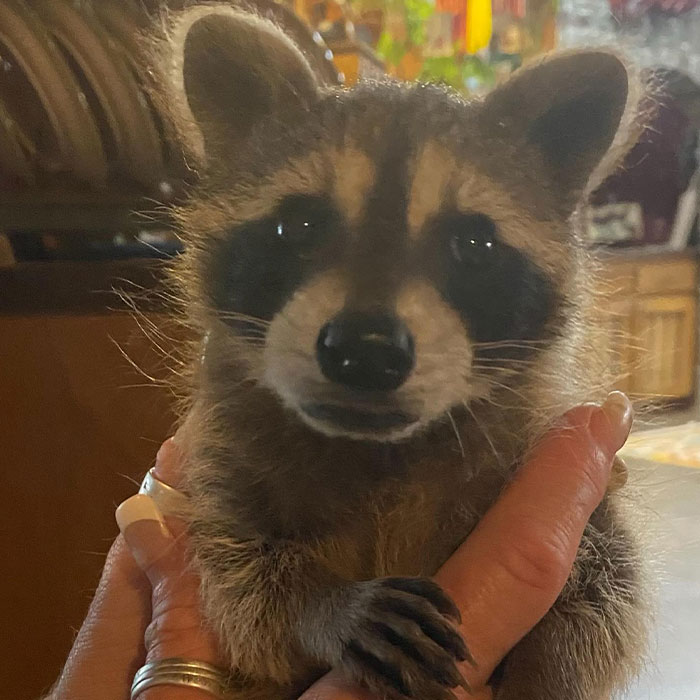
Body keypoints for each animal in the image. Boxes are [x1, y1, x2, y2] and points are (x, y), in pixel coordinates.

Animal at [151, 6, 648, 699]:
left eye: (474, 243)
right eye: (298, 225)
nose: (365, 350)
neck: (383, 451)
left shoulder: (583, 485)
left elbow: (605, 594)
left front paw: (547, 672)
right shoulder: (223, 469)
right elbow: (243, 590)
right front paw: (322, 605)